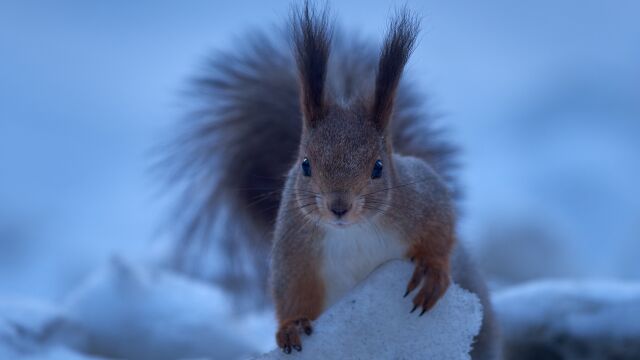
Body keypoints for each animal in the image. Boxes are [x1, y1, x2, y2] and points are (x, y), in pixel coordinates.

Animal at [164, 1, 500, 358]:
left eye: (378, 167)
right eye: (305, 165)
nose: (339, 207)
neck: (353, 231)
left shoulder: (424, 194)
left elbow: (442, 228)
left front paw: (432, 271)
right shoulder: (295, 249)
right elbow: (291, 292)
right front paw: (291, 326)